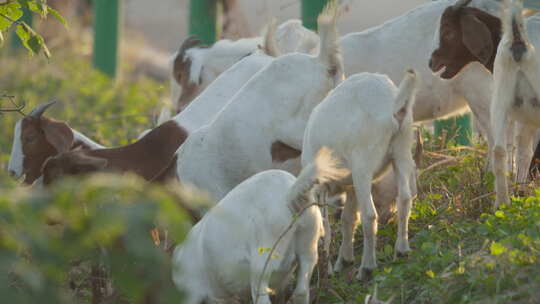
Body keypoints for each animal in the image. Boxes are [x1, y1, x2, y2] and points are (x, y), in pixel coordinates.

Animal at [173, 147, 348, 304]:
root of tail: (289, 195)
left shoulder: (191, 293)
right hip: (308, 242)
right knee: (301, 291)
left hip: (263, 260)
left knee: (262, 297)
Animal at [302, 70, 420, 280]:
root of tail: (393, 105)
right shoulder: (350, 187)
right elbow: (347, 219)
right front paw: (344, 260)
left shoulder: (320, 187)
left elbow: (325, 228)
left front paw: (328, 269)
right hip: (402, 149)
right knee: (405, 199)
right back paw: (402, 250)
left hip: (362, 164)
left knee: (370, 215)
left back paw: (367, 267)